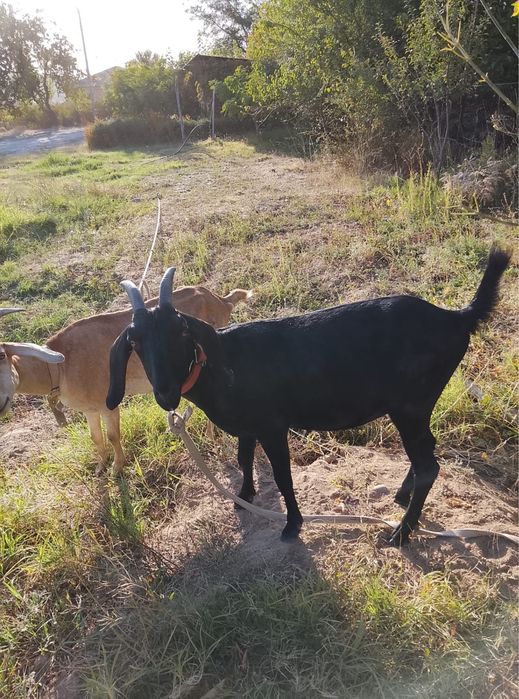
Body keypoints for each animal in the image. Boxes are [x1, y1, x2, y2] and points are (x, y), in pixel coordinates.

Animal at [1, 286, 251, 473]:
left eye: (2, 354)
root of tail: (220, 300)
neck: (61, 366)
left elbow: (112, 436)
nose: (2, 402)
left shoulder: (107, 404)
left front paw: (117, 469)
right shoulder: (90, 409)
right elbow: (96, 438)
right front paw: (100, 467)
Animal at [107, 248, 510, 545]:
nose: (166, 393)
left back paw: (400, 533)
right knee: (427, 450)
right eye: (134, 341)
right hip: (418, 406)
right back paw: (401, 497)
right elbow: (243, 458)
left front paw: (292, 525)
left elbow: (283, 476)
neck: (225, 364)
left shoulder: (273, 426)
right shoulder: (248, 427)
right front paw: (245, 496)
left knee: (429, 465)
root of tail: (456, 318)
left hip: (410, 404)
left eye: (180, 331)